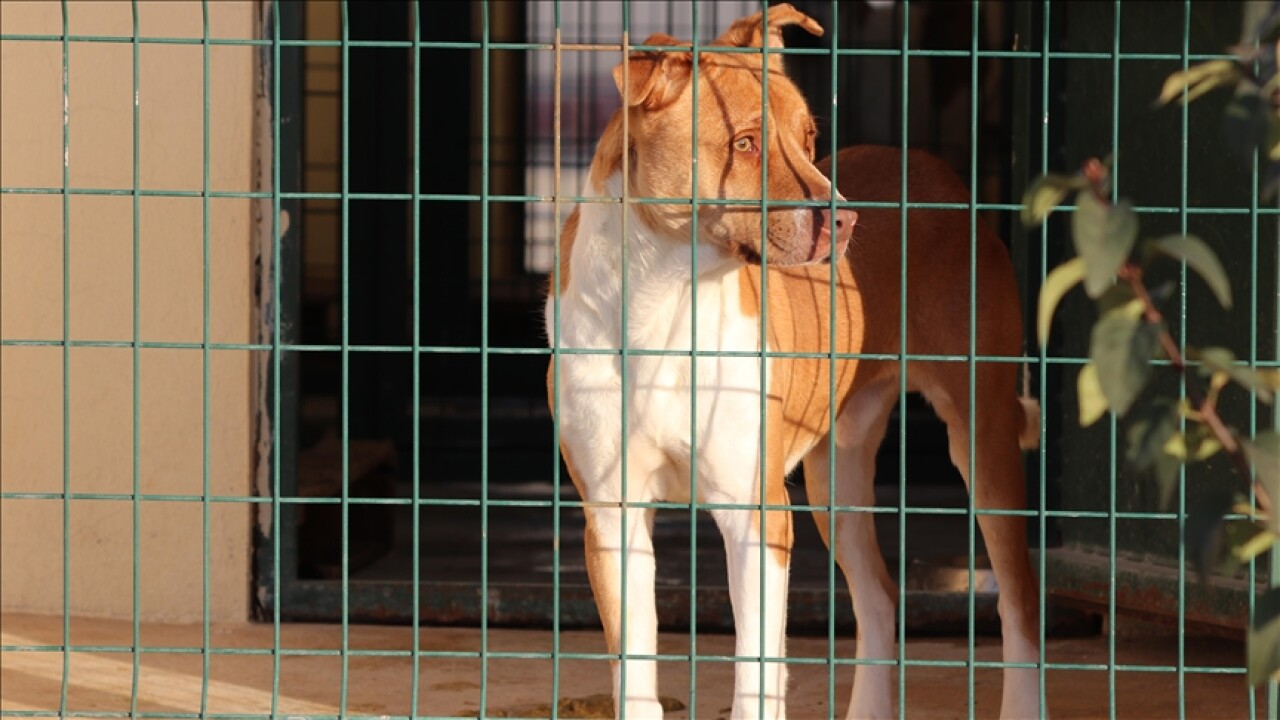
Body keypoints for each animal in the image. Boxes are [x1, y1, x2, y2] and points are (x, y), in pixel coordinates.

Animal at [545, 7, 1044, 717]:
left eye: (809, 138)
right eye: (747, 143)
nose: (845, 221)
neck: (663, 301)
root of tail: (932, 169)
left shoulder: (757, 517)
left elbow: (757, 674)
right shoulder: (614, 516)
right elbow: (636, 673)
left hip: (983, 436)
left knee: (1019, 599)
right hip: (834, 480)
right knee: (879, 598)